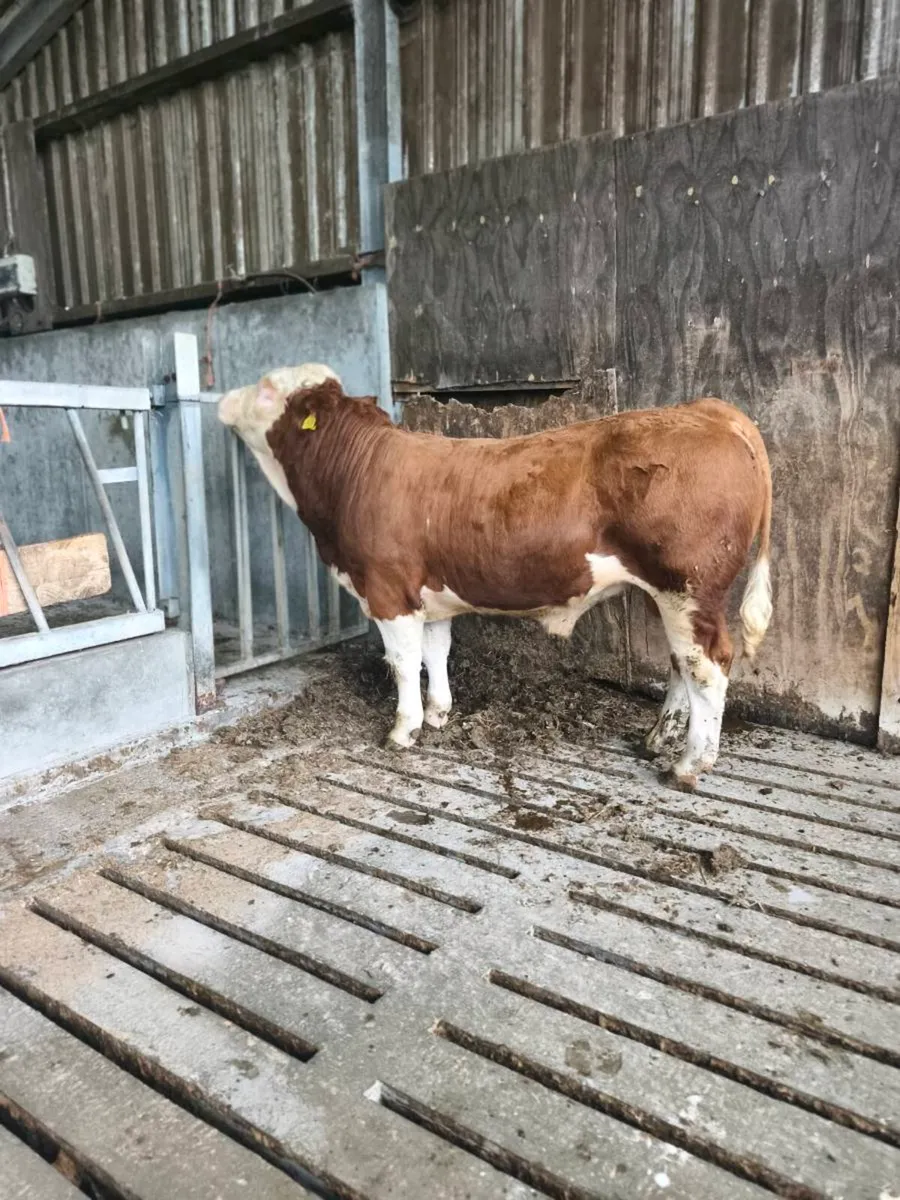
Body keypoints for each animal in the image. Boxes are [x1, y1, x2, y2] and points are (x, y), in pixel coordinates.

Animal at [218, 369, 772, 791]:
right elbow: (435, 652)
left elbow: (402, 663)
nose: (222, 398)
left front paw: (403, 729)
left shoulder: (387, 590)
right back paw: (659, 738)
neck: (354, 472)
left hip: (689, 586)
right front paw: (438, 713)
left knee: (708, 666)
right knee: (681, 662)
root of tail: (707, 409)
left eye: (266, 387)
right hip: (670, 594)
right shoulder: (429, 595)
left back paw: (688, 764)